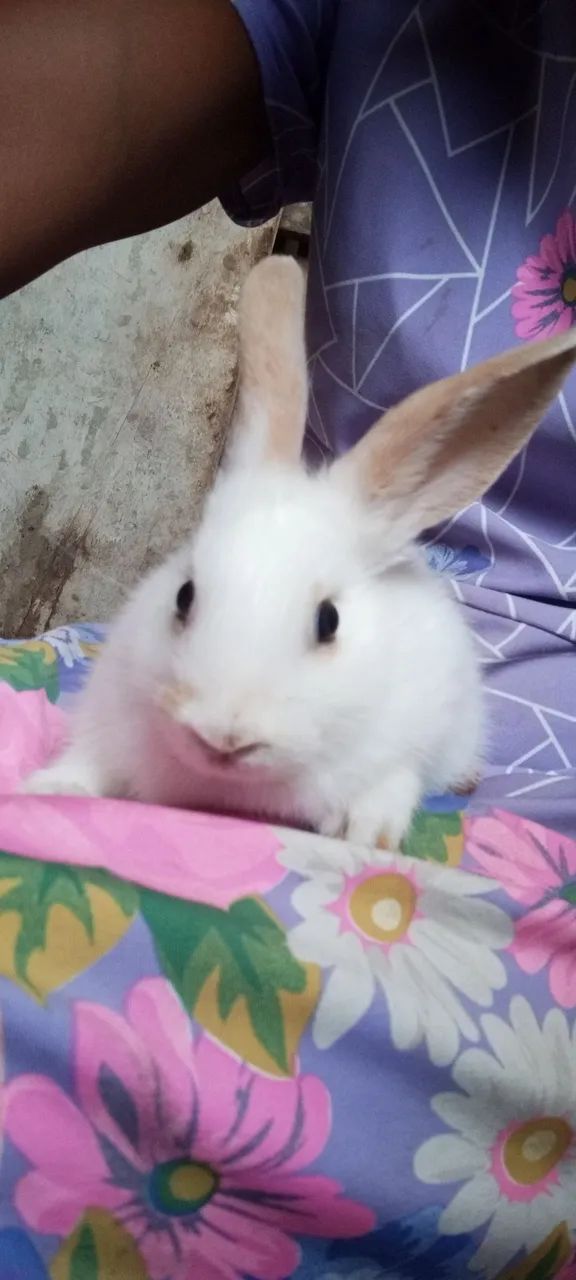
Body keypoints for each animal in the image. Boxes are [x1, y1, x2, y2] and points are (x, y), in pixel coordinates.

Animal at [23, 257, 576, 849]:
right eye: (184, 596)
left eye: (328, 621)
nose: (225, 735)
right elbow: (88, 765)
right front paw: (48, 789)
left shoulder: (406, 744)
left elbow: (390, 785)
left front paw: (365, 833)